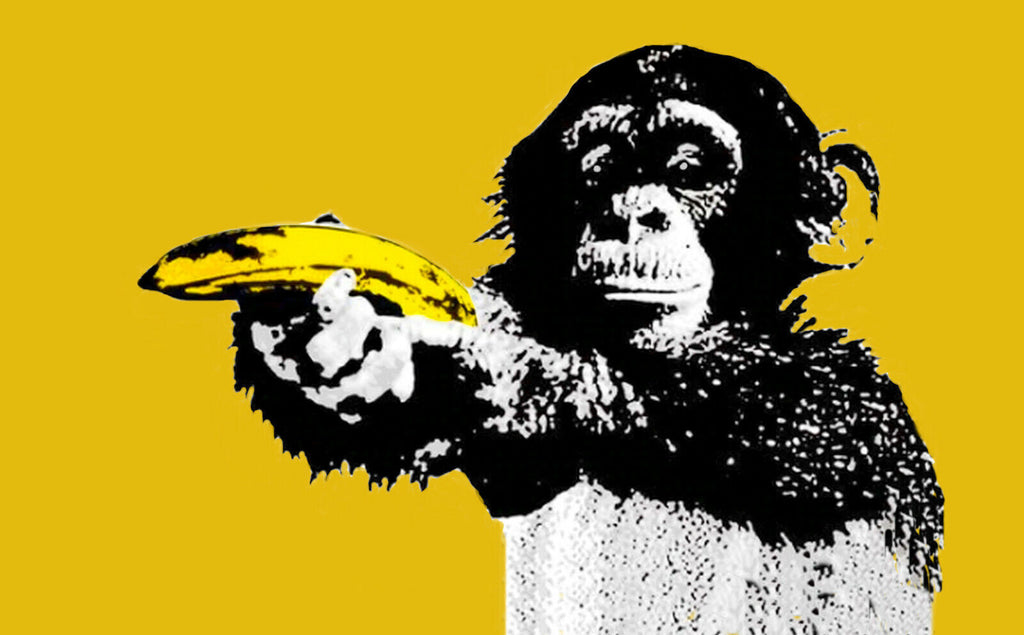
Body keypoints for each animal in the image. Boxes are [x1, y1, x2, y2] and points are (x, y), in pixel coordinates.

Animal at [156, 45, 943, 633]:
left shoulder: (856, 414)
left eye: (689, 170)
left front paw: (467, 367)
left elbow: (785, 420)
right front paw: (321, 339)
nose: (633, 212)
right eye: (600, 168)